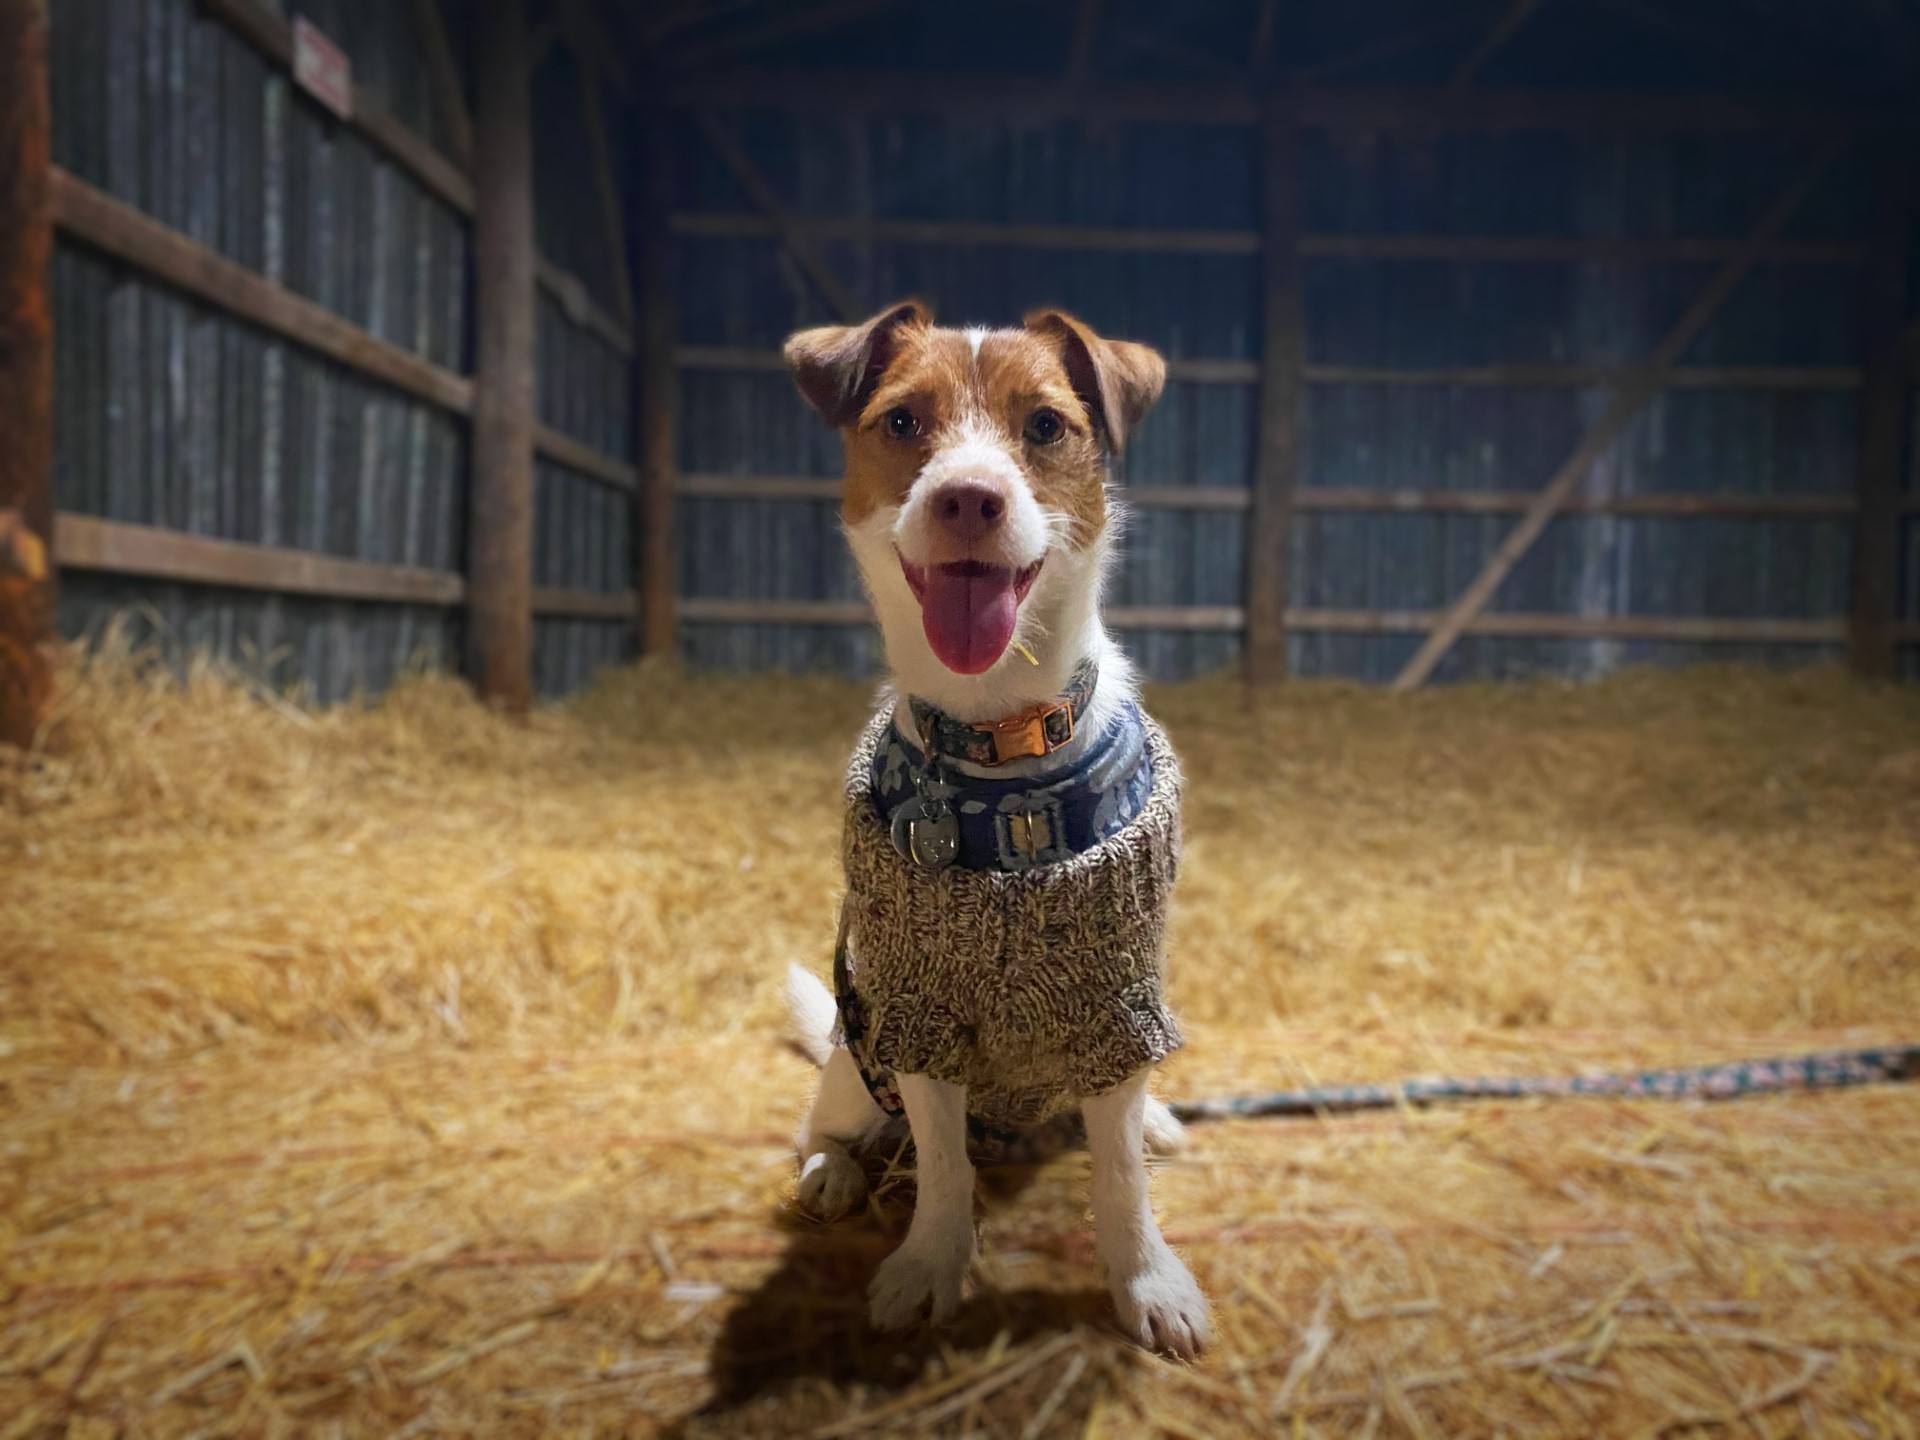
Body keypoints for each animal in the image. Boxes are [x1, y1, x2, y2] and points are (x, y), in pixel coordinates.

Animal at [780, 301, 1210, 1358]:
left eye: (1047, 424)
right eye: (901, 421)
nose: (969, 498)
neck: (1000, 743)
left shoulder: (1114, 1007)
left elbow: (1119, 1179)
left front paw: (1147, 1278)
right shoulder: (920, 1017)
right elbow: (942, 1169)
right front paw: (930, 1266)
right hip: (856, 1052)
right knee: (824, 1124)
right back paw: (834, 1172)